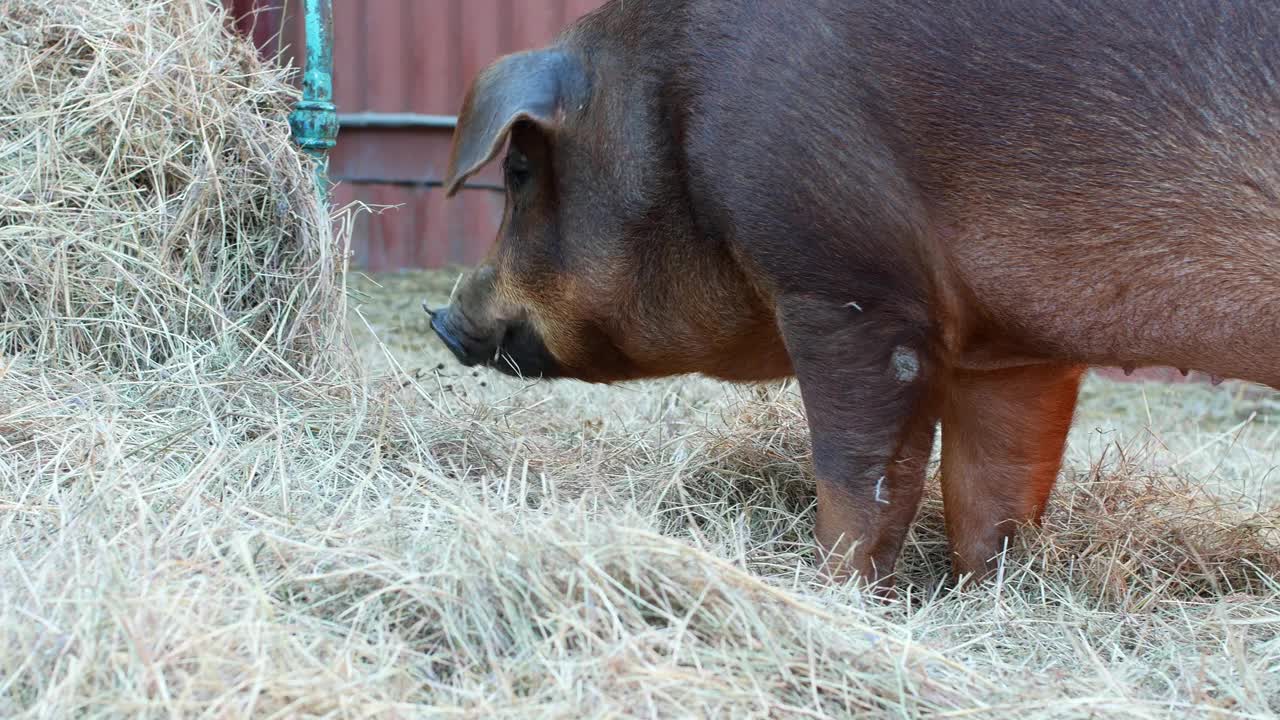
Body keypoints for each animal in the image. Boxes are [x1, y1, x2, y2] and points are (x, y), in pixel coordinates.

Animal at [430, 0, 1280, 589]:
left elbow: (860, 474)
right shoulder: (1014, 351)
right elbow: (994, 488)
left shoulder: (849, 288)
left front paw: (836, 587)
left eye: (518, 172)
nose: (442, 319)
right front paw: (985, 594)